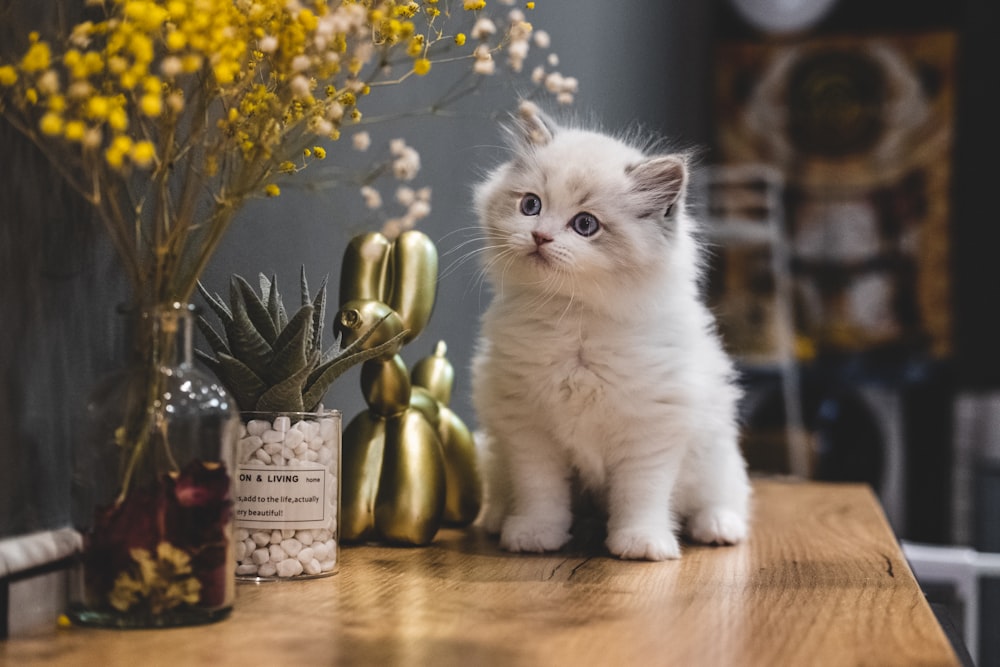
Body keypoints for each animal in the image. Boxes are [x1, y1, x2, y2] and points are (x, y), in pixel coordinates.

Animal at [470, 104, 752, 560]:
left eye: (585, 225)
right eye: (531, 205)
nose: (539, 236)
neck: (576, 320)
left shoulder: (650, 430)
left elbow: (640, 495)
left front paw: (641, 543)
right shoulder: (528, 429)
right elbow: (540, 492)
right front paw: (534, 535)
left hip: (715, 453)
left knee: (725, 496)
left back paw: (718, 528)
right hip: (496, 450)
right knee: (500, 488)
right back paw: (497, 519)